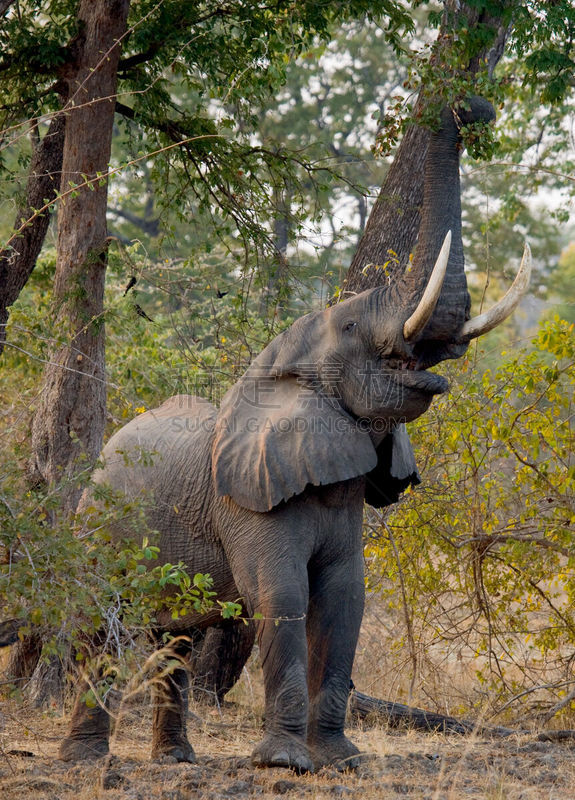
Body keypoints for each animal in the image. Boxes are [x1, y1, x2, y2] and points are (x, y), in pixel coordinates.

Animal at [58, 97, 532, 772]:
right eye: (354, 325)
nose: (473, 107)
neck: (284, 363)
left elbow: (345, 599)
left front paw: (340, 760)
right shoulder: (247, 500)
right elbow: (281, 596)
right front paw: (284, 764)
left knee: (177, 637)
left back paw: (177, 762)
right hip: (99, 521)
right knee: (100, 619)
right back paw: (84, 762)